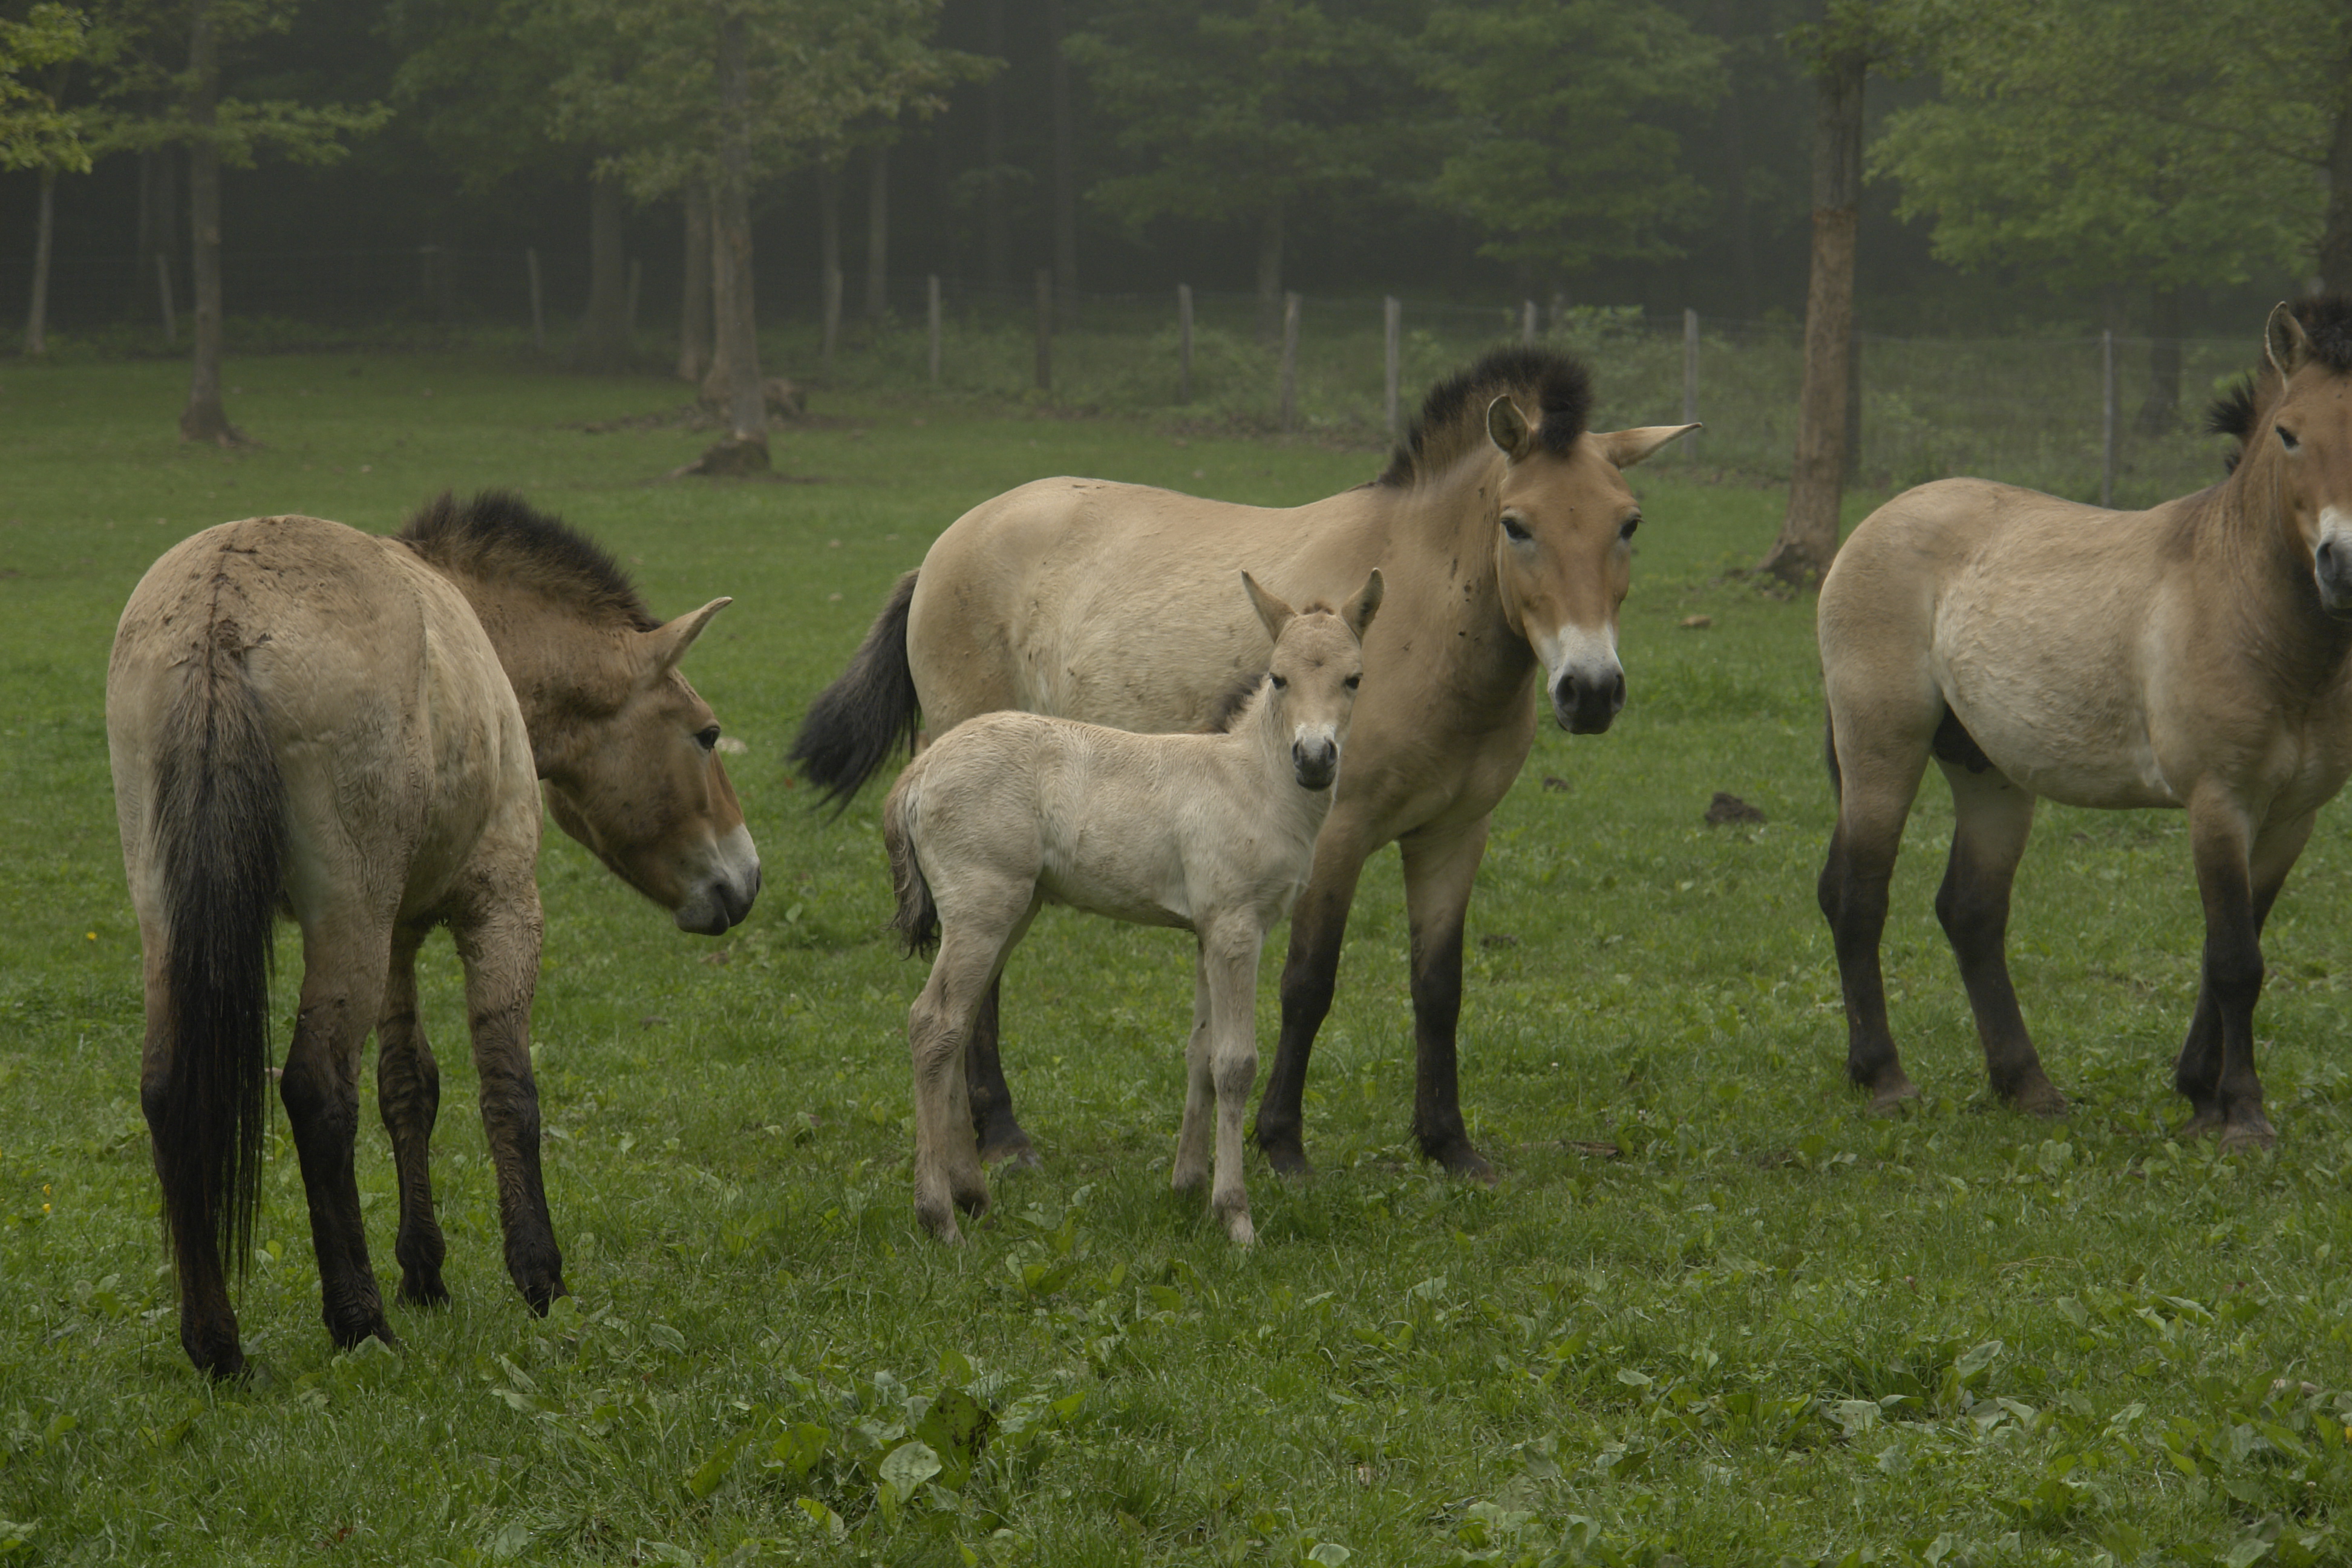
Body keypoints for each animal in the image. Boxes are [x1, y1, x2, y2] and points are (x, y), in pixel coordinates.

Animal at [106, 491, 761, 1377]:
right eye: (705, 733)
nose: (745, 878)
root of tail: (221, 607)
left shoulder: (401, 932)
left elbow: (408, 1088)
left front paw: (424, 1271)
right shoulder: (502, 908)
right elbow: (508, 1091)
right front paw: (540, 1278)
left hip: (176, 916)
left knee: (170, 1089)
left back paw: (217, 1345)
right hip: (345, 914)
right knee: (316, 1089)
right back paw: (359, 1323)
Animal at [884, 571, 1381, 1245]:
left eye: (1354, 678)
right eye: (1278, 678)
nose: (1314, 759)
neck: (1252, 781)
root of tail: (919, 769)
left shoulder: (1207, 931)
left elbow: (1200, 1054)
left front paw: (1189, 1187)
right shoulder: (1236, 928)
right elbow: (1235, 1063)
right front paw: (1237, 1216)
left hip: (1013, 911)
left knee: (956, 1028)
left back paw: (973, 1196)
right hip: (983, 908)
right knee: (933, 1024)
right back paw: (938, 1217)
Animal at [1816, 299, 2352, 1146]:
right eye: (2288, 434)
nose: (2343, 563)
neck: (2247, 607)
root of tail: (1876, 522)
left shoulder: (2292, 818)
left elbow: (2231, 951)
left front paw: (2201, 1096)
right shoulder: (2219, 803)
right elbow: (2236, 960)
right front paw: (2243, 1116)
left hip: (1989, 774)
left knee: (1972, 913)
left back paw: (2027, 1086)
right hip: (1880, 749)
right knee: (1857, 897)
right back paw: (1886, 1080)